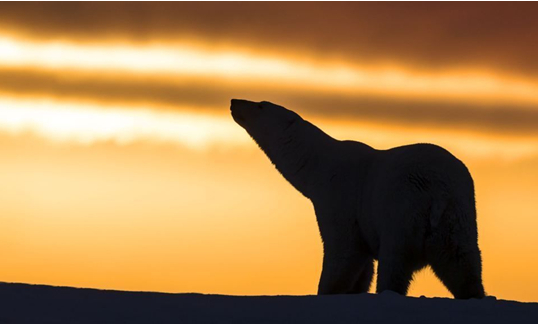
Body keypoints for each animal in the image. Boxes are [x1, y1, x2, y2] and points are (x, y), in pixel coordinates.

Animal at [228, 98, 484, 298]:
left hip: (402, 211)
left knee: (395, 262)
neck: (319, 166)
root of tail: (437, 189)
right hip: (457, 216)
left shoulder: (341, 201)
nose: (234, 101)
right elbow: (363, 267)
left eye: (261, 105)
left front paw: (326, 291)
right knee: (462, 263)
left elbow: (343, 253)